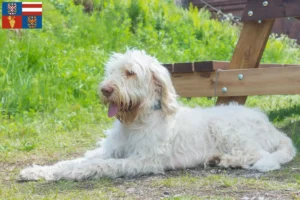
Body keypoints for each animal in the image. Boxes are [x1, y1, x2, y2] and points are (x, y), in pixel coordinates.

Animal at [19, 49, 296, 180]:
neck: (136, 121)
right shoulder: (111, 150)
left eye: (130, 72)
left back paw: (225, 160)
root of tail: (273, 129)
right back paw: (217, 158)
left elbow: (97, 165)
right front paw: (38, 171)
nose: (105, 90)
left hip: (226, 128)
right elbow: (73, 160)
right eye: (111, 70)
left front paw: (65, 175)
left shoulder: (142, 161)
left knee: (258, 155)